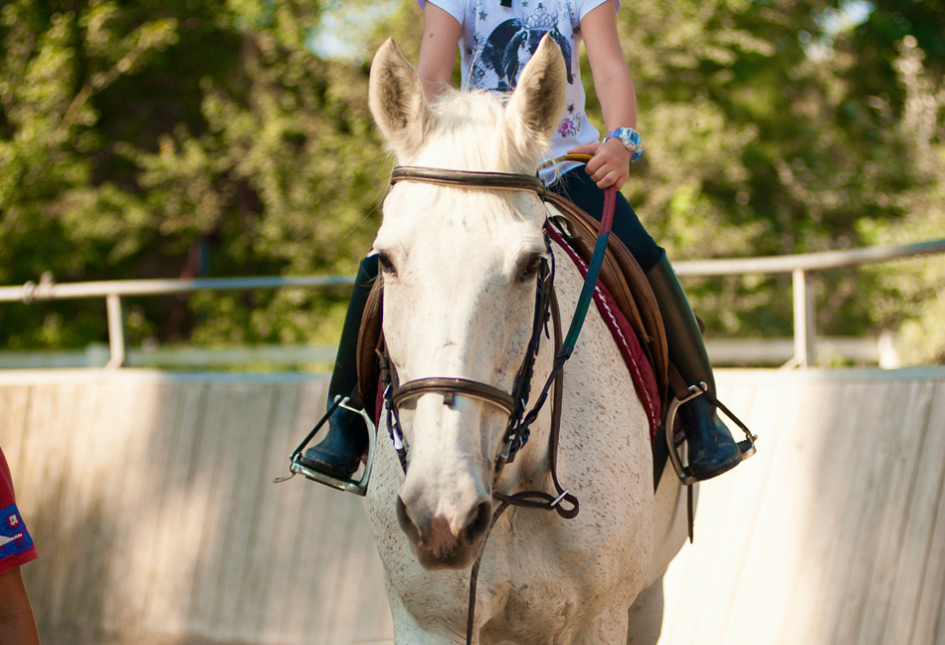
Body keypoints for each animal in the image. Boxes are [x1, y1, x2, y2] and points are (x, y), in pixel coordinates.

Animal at [362, 36, 684, 644]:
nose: (442, 515)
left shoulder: (603, 619)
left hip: (649, 598)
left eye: (532, 265)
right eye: (385, 261)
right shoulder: (428, 622)